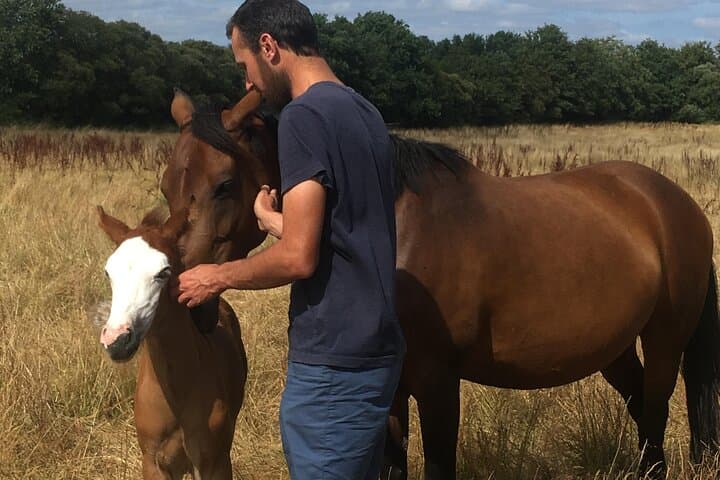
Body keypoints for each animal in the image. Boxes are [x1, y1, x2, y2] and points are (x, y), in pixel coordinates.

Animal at [95, 205, 248, 479]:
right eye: (108, 272)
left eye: (163, 272)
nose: (117, 340)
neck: (176, 393)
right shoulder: (153, 463)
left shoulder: (216, 462)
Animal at [162, 88, 720, 479]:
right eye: (167, 186)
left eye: (224, 185)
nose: (190, 297)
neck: (392, 233)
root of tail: (673, 201)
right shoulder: (388, 387)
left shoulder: (437, 382)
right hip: (614, 348)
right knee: (641, 410)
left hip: (665, 340)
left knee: (655, 410)